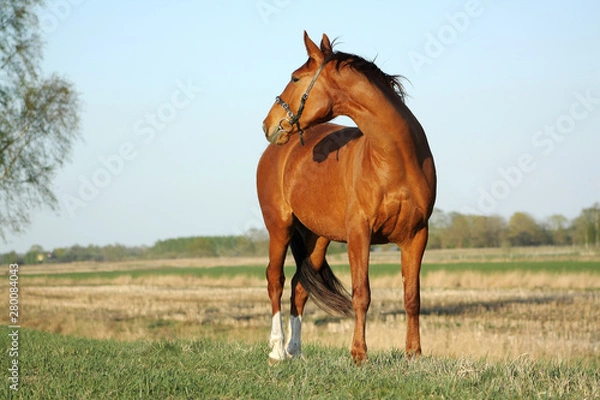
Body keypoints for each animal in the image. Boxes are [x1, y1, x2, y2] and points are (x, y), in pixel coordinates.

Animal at [258, 30, 436, 362]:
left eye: (295, 77)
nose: (268, 124)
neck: (396, 159)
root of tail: (274, 152)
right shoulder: (359, 233)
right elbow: (361, 294)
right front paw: (358, 354)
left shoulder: (416, 235)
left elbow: (412, 297)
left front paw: (414, 355)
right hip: (279, 227)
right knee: (275, 280)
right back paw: (277, 350)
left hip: (317, 238)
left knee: (300, 286)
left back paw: (295, 350)